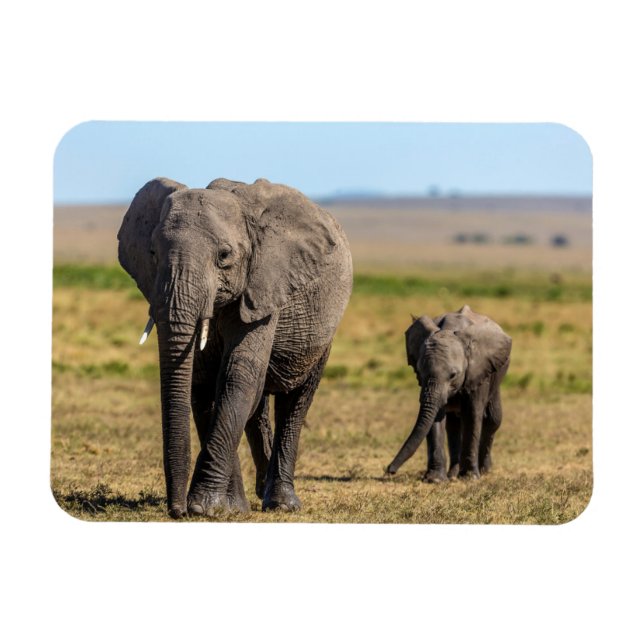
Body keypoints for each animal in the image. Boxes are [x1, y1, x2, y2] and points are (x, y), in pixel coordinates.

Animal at [117, 177, 353, 518]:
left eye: (224, 255)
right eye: (152, 253)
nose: (176, 511)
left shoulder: (263, 287)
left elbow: (236, 376)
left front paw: (204, 507)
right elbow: (203, 384)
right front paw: (229, 509)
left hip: (323, 331)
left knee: (295, 400)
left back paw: (281, 504)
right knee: (257, 405)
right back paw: (260, 492)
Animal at [385, 305, 511, 482]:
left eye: (453, 375)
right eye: (420, 372)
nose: (389, 470)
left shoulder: (477, 370)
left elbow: (473, 413)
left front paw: (470, 478)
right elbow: (436, 416)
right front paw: (435, 480)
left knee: (493, 419)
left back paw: (484, 471)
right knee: (453, 425)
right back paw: (452, 474)